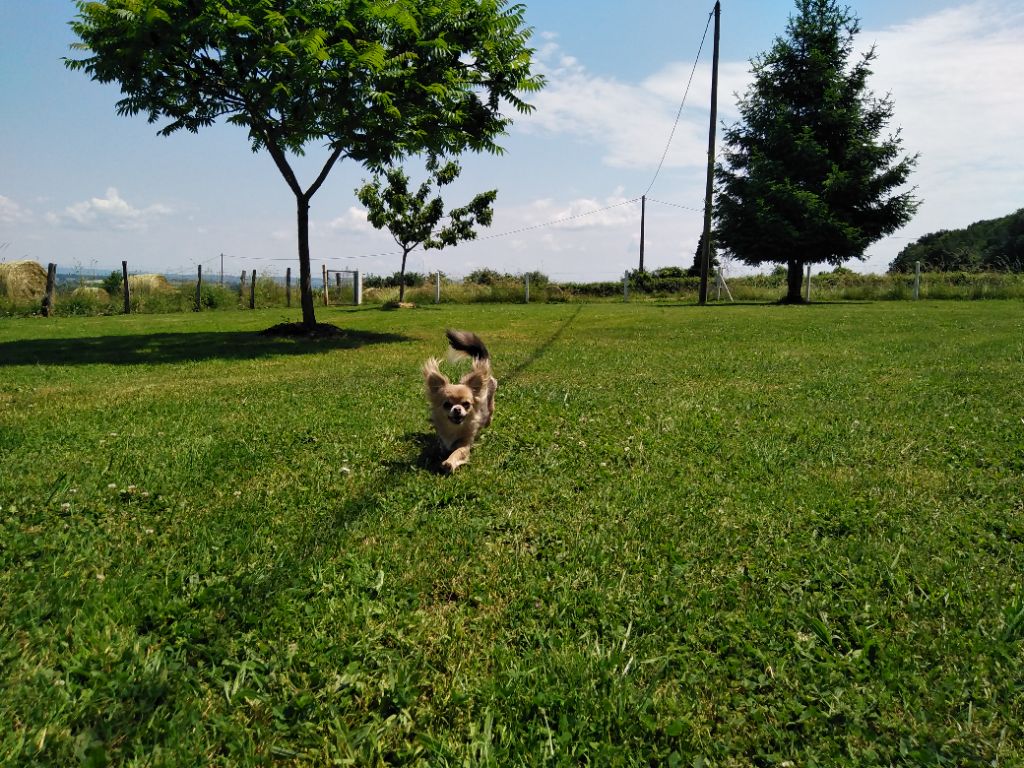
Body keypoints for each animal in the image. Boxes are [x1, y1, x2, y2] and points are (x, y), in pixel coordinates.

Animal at [421, 327, 497, 473]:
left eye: (466, 404)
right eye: (447, 404)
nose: (457, 409)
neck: (454, 428)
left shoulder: (465, 443)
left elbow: (458, 452)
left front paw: (449, 462)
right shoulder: (443, 439)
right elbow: (441, 447)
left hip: (490, 400)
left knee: (490, 411)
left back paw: (487, 421)